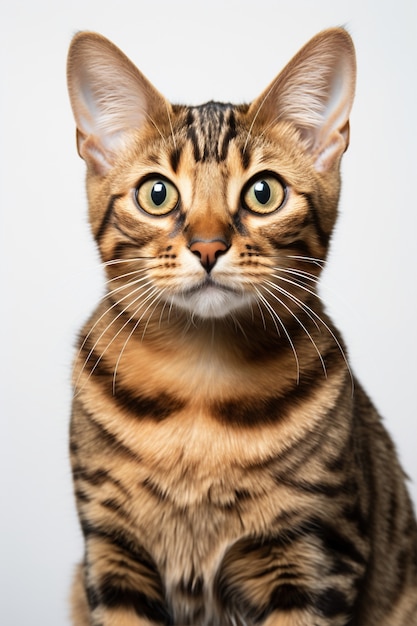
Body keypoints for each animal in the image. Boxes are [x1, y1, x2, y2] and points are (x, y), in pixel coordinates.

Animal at [66, 26, 416, 620]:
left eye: (263, 192)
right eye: (157, 193)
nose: (208, 246)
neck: (200, 391)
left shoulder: (316, 555)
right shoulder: (112, 552)